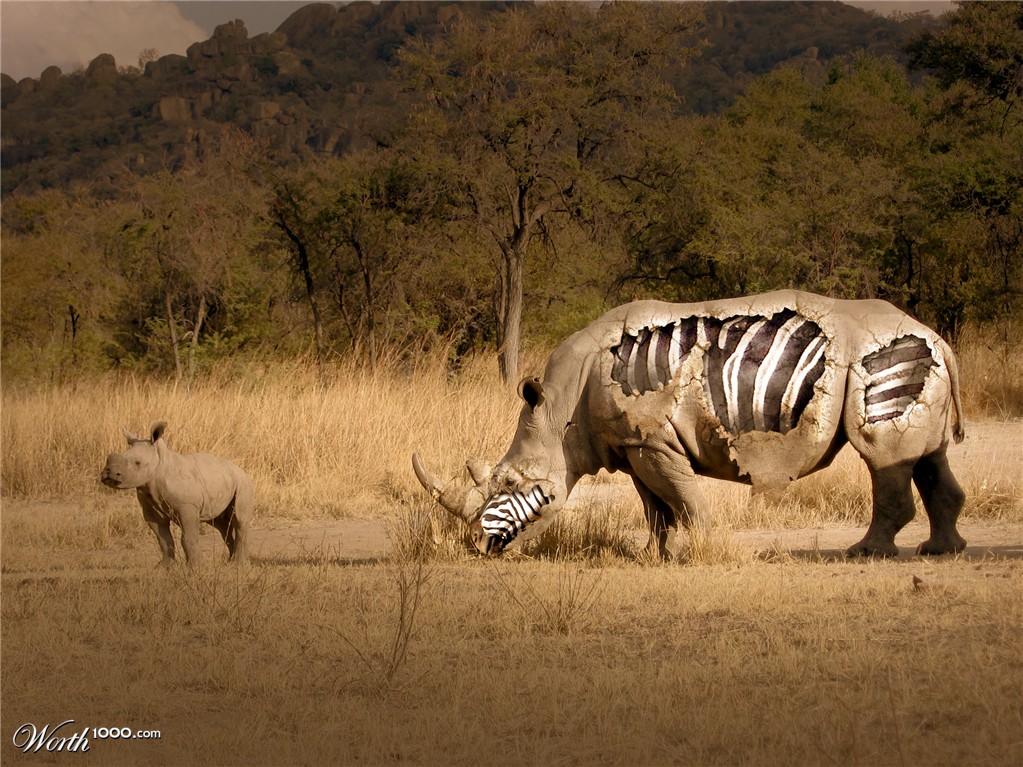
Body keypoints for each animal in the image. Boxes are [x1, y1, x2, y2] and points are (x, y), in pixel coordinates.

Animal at [101, 422, 254, 565]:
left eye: (137, 463)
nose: (108, 473)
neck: (159, 467)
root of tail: (241, 470)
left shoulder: (187, 507)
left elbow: (188, 538)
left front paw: (194, 567)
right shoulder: (151, 510)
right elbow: (163, 539)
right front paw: (165, 567)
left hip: (243, 483)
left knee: (239, 520)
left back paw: (238, 564)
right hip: (223, 480)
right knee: (220, 524)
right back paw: (231, 561)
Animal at [413, 290, 967, 559]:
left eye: (509, 484)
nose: (478, 546)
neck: (556, 418)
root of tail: (940, 338)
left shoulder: (653, 442)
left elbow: (683, 499)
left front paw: (703, 551)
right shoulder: (634, 444)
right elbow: (654, 506)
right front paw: (652, 557)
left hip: (882, 355)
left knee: (883, 454)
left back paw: (865, 554)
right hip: (915, 360)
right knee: (927, 455)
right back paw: (940, 551)